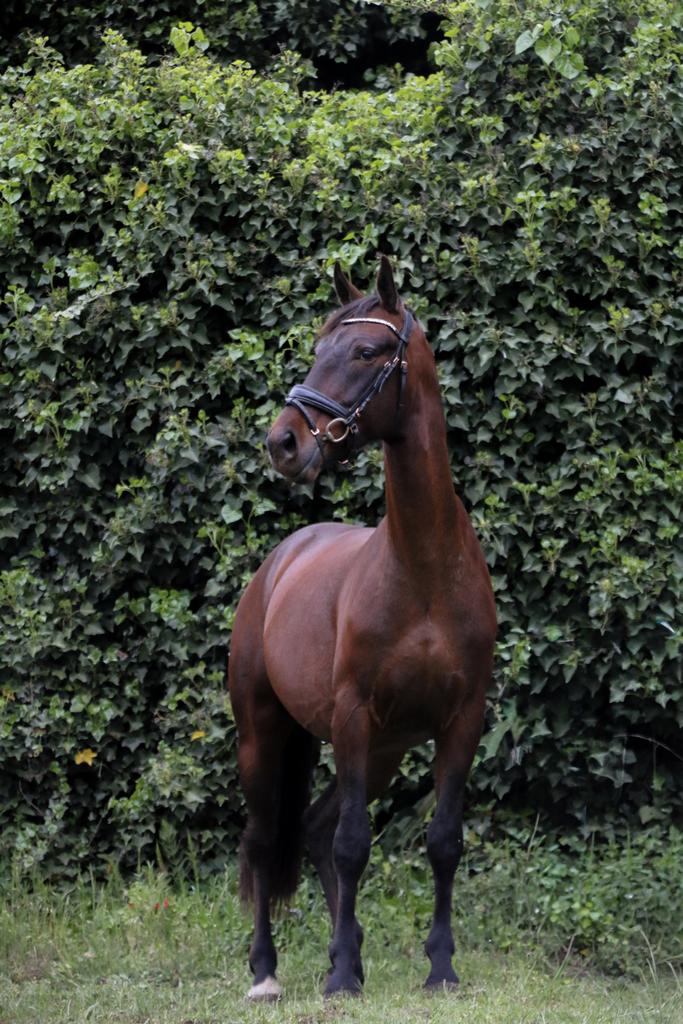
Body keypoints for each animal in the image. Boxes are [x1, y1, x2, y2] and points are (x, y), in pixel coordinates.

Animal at [228, 256, 496, 1000]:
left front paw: (439, 968)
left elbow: (442, 842)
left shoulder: (462, 720)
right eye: (318, 348)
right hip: (264, 734)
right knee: (267, 840)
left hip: (384, 751)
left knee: (316, 828)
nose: (284, 442)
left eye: (368, 351)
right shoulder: (352, 715)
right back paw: (267, 971)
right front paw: (343, 976)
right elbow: (355, 845)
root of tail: (280, 562)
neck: (424, 567)